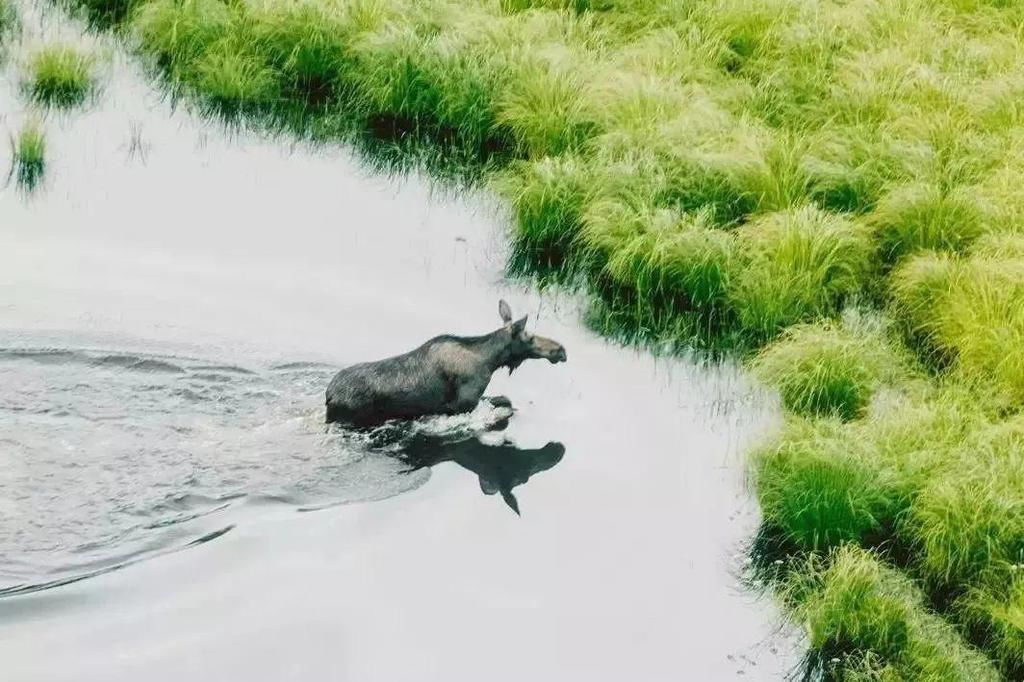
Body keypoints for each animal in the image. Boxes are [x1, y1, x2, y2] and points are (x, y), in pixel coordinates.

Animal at [323, 299, 569, 425]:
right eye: (529, 337)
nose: (561, 350)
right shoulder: (461, 404)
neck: (490, 360)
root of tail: (329, 395)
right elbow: (503, 402)